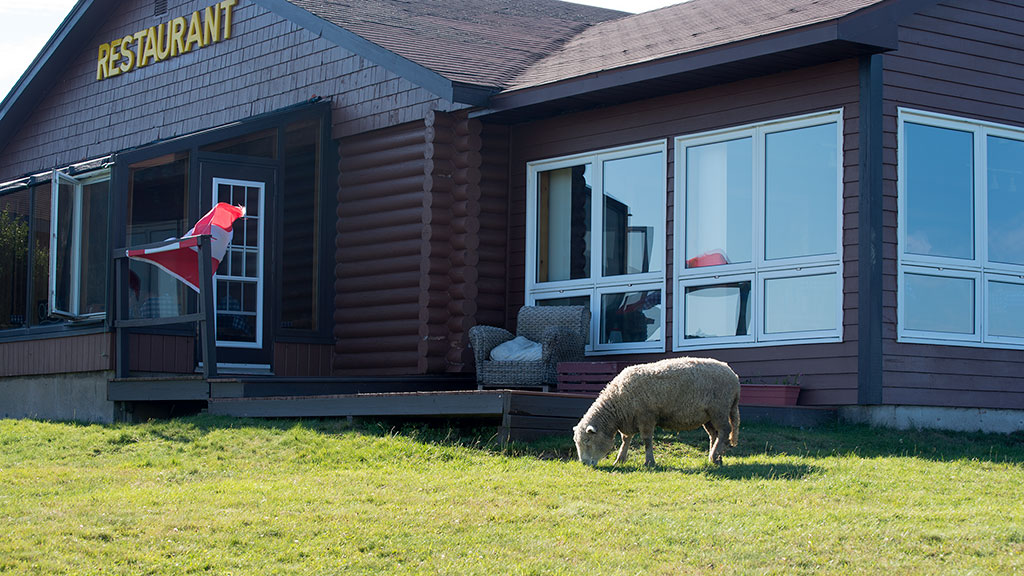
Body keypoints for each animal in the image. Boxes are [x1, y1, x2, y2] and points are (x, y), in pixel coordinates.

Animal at [573, 354, 741, 467]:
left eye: (587, 441)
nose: (584, 463)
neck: (618, 402)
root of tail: (734, 375)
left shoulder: (646, 417)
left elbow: (647, 440)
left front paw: (649, 462)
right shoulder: (629, 420)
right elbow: (625, 440)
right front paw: (619, 460)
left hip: (719, 409)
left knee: (725, 431)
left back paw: (714, 456)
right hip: (708, 415)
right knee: (715, 434)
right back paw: (716, 458)